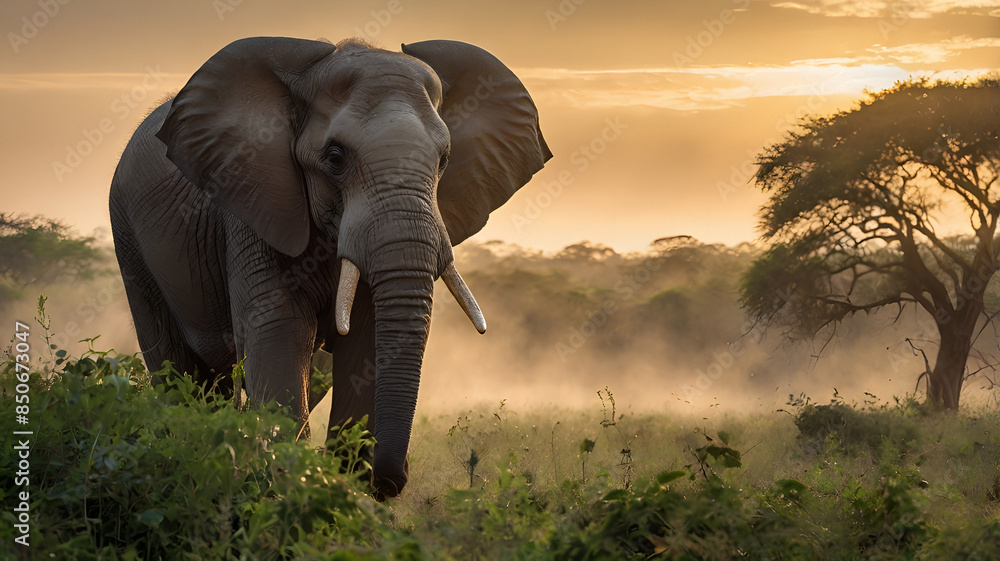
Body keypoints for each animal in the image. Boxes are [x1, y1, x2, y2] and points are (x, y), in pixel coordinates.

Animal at [109, 36, 550, 499]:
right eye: (335, 157)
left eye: (444, 159)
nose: (393, 479)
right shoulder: (252, 203)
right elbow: (279, 330)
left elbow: (365, 342)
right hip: (128, 236)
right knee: (179, 373)